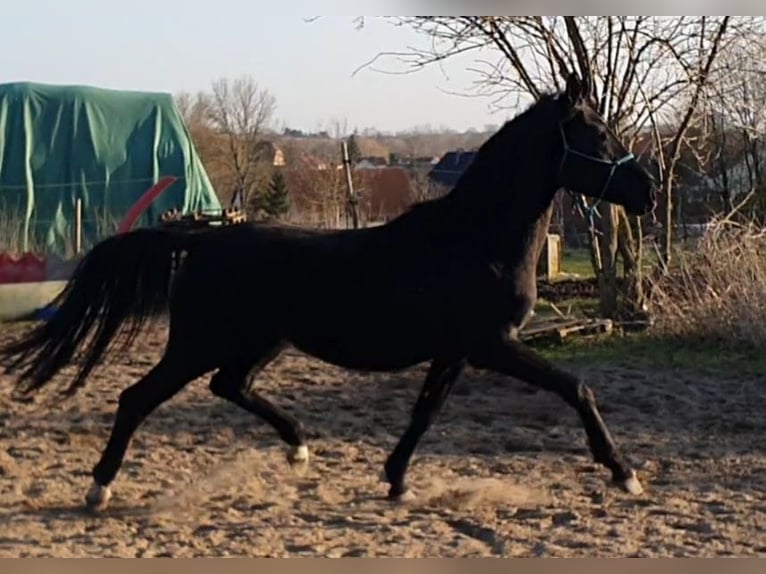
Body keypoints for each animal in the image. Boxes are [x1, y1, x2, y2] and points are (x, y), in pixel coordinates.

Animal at [0, 73, 660, 512]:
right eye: (597, 134)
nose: (648, 191)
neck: (476, 239)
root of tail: (199, 241)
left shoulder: (455, 352)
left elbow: (425, 413)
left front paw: (395, 480)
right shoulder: (492, 344)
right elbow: (577, 388)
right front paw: (623, 473)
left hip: (256, 343)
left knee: (228, 386)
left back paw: (298, 449)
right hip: (198, 344)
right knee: (138, 398)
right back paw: (98, 489)